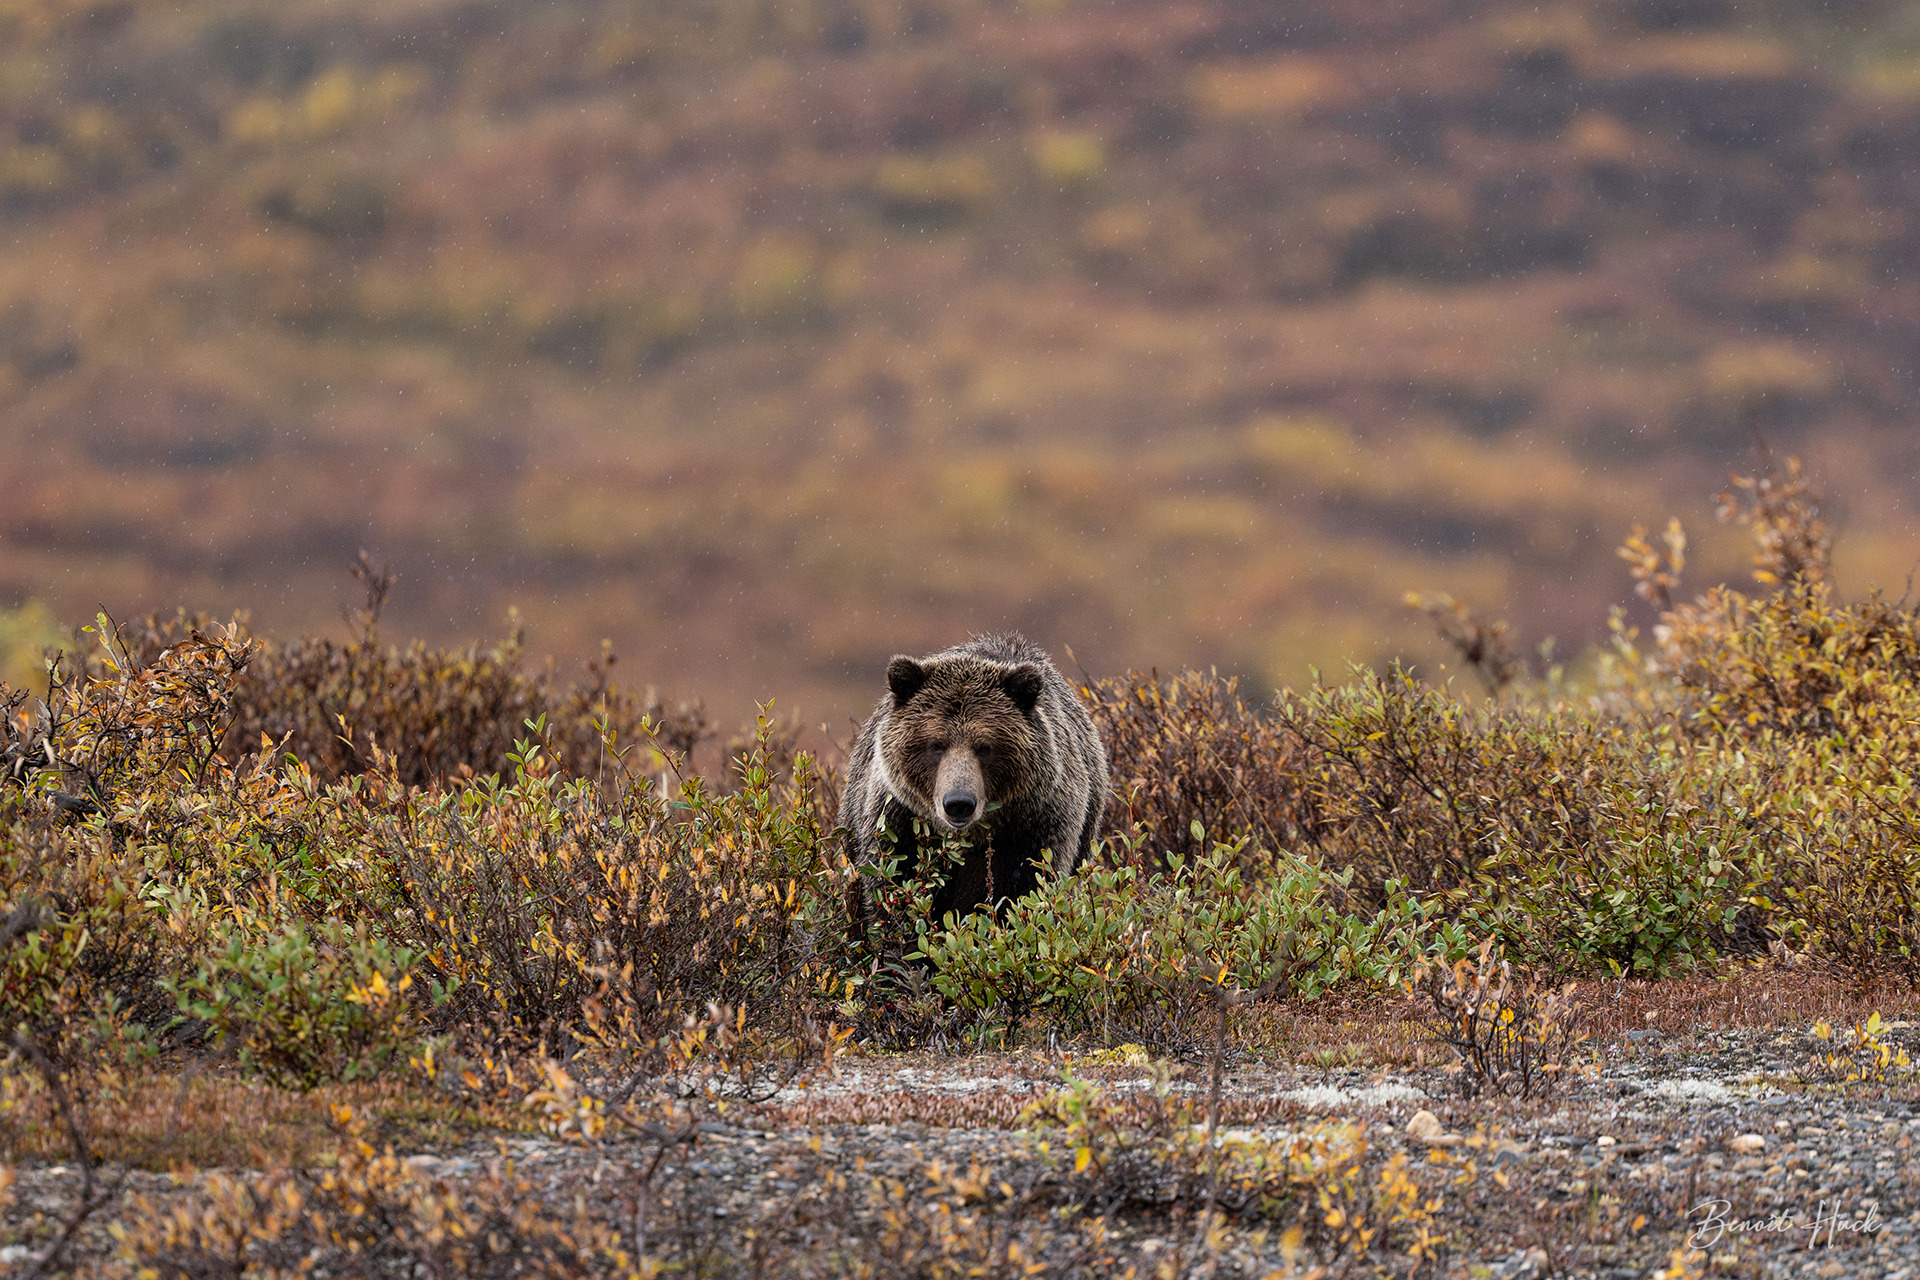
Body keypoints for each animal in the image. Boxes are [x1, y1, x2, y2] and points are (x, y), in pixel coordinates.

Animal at [840, 632, 1108, 932]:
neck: (972, 836)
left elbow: (1025, 895)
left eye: (985, 746)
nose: (959, 803)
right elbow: (892, 894)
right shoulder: (898, 824)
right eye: (936, 744)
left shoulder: (1035, 828)